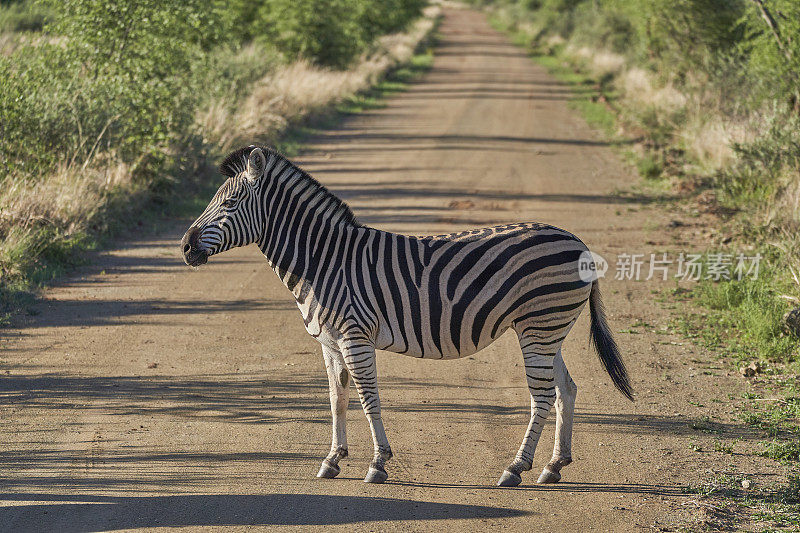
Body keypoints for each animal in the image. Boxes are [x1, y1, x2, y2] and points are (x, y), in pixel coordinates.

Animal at [180, 145, 632, 486]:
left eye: (230, 202)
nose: (185, 247)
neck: (323, 262)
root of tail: (577, 241)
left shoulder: (354, 336)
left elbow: (368, 398)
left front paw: (377, 463)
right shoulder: (329, 342)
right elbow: (337, 399)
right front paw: (332, 460)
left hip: (539, 327)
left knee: (542, 397)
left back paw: (515, 468)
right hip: (547, 328)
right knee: (566, 390)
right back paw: (554, 466)